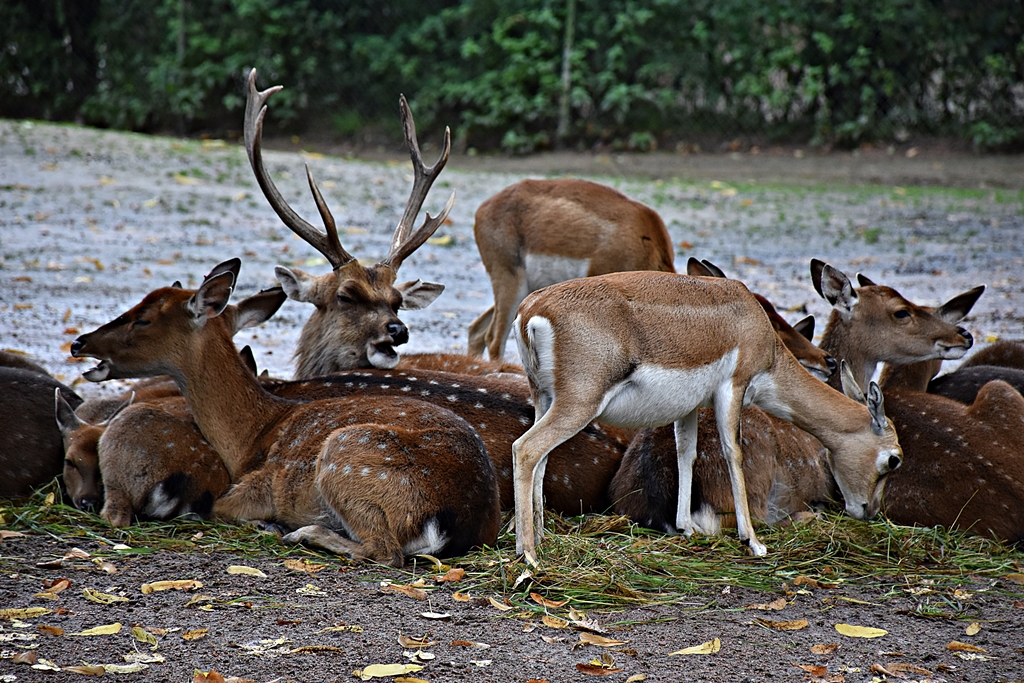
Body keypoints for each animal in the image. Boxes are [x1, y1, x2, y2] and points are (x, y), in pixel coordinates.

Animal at [71, 259, 501, 566]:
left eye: (143, 318)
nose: (79, 342)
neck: (252, 435)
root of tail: (453, 516)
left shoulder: (252, 489)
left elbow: (221, 509)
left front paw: (268, 524)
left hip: (347, 456)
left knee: (385, 552)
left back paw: (297, 532)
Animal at [510, 270, 902, 565]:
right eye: (893, 459)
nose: (868, 511)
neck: (755, 327)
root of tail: (531, 309)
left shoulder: (689, 407)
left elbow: (687, 453)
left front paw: (686, 527)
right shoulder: (734, 387)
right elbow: (733, 453)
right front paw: (753, 541)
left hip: (545, 399)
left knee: (540, 460)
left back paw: (541, 540)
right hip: (578, 405)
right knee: (525, 449)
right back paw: (528, 555)